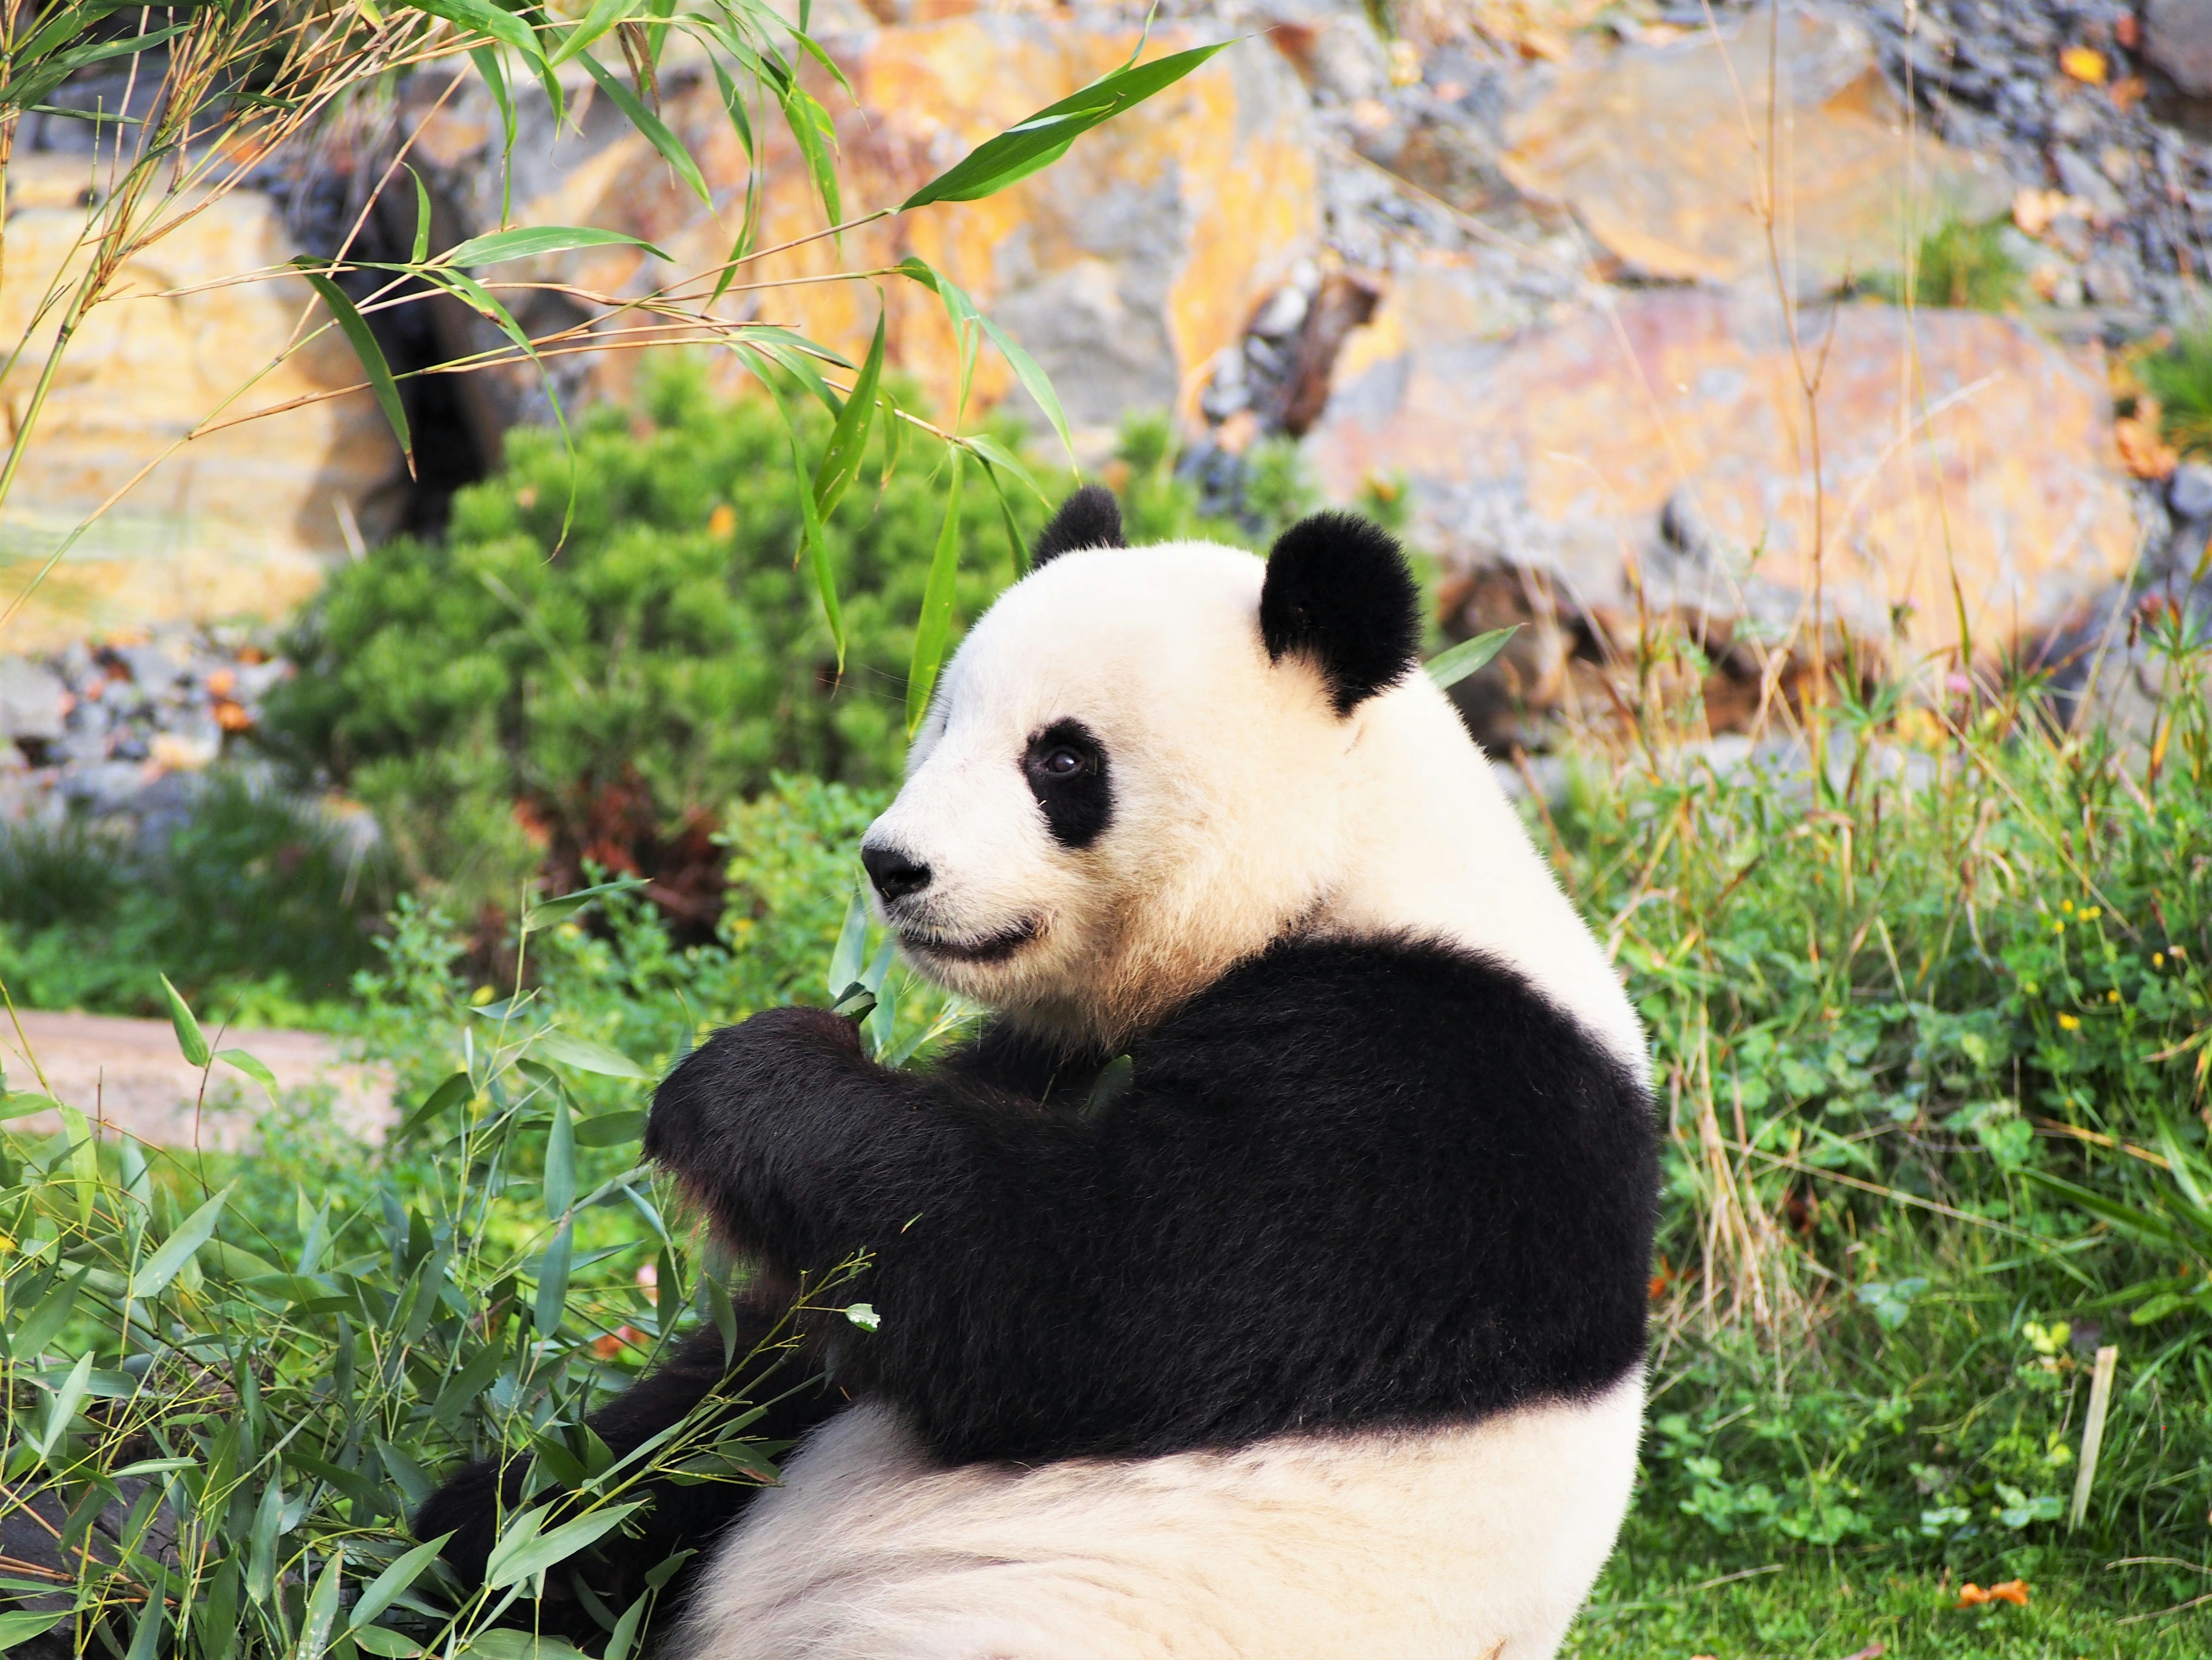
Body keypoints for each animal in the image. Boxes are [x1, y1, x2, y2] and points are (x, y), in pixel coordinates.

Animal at [419, 489, 1658, 1659]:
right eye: (942, 720)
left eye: (1061, 758)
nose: (893, 865)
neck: (1344, 865)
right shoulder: (1059, 1052)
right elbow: (758, 1375)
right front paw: (492, 1520)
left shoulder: (1432, 1093)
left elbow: (1087, 1285)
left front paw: (751, 1075)